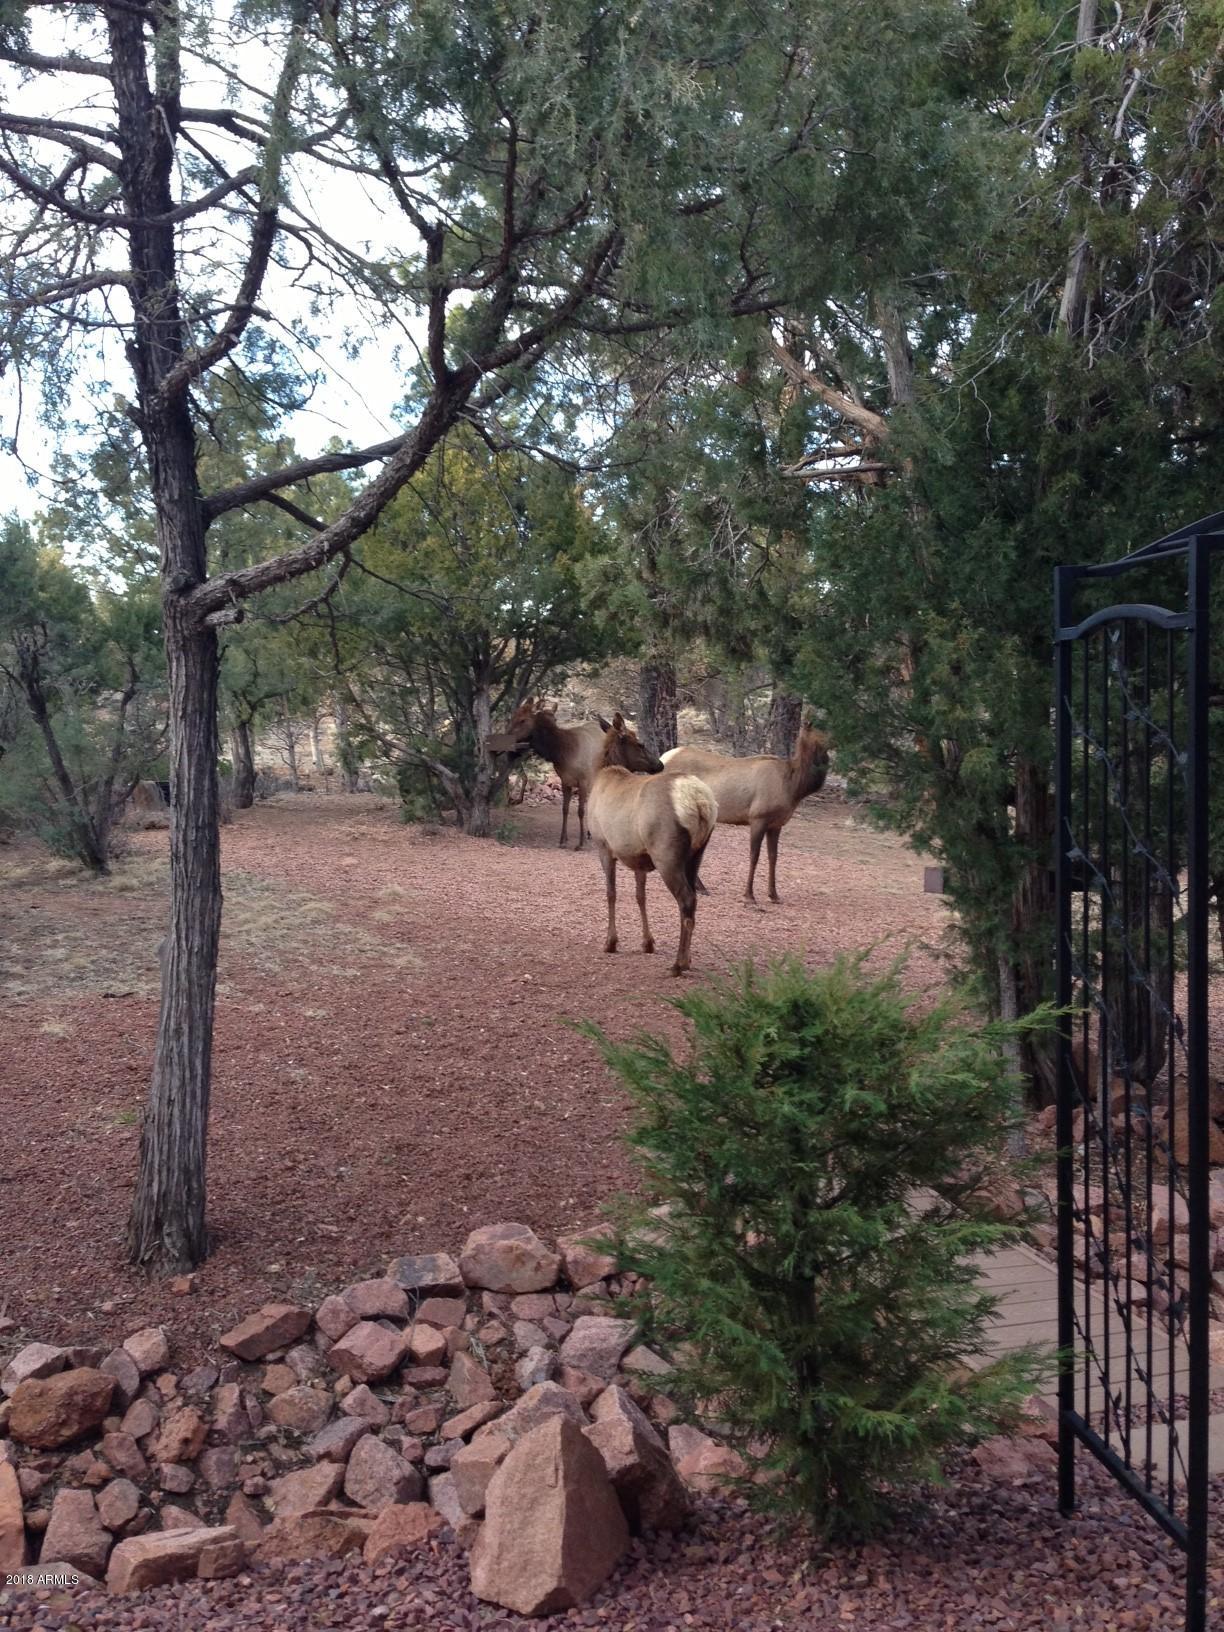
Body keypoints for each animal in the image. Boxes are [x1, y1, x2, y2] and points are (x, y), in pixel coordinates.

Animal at [485, 698, 611, 850]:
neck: (563, 752)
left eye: (522, 720)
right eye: (513, 716)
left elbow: (580, 811)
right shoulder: (565, 781)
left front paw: (580, 844)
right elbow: (565, 809)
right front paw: (563, 840)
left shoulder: (583, 781)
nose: (506, 737)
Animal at [588, 714, 719, 976]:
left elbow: (611, 893)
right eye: (640, 743)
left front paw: (610, 942)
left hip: (666, 853)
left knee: (686, 899)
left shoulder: (603, 845)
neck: (602, 772)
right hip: (697, 853)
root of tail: (700, 802)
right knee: (693, 899)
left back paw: (678, 964)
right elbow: (641, 896)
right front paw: (647, 942)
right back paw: (687, 959)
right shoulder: (638, 856)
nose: (658, 764)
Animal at [661, 720, 830, 905]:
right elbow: (754, 856)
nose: (834, 742)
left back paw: (700, 887)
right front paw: (749, 895)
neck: (793, 787)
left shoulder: (776, 824)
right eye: (817, 730)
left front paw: (774, 895)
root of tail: (663, 758)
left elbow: (773, 857)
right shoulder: (758, 817)